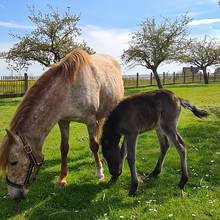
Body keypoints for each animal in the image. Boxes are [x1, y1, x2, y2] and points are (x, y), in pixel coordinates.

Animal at [0, 48, 124, 199]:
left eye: (13, 162)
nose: (13, 194)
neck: (69, 90)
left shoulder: (89, 120)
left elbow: (93, 145)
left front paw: (99, 173)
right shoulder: (63, 121)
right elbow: (64, 148)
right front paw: (62, 179)